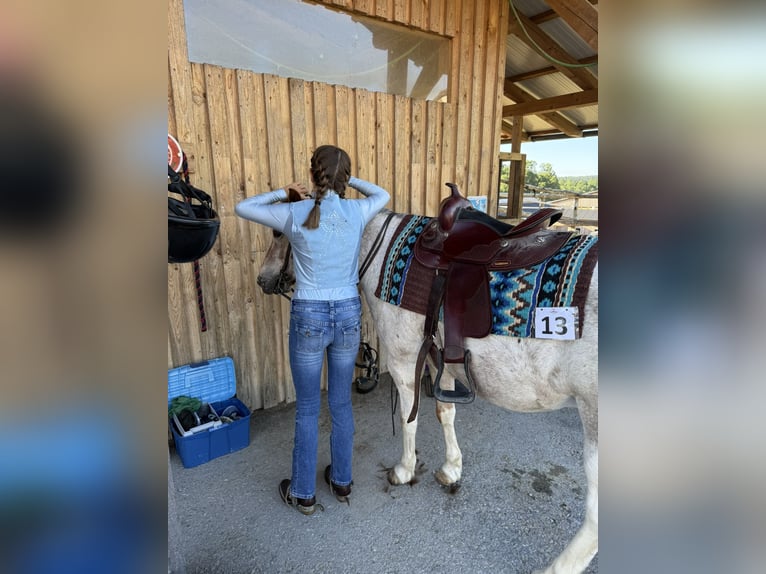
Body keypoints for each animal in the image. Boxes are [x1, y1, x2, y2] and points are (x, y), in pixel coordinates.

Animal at [256, 197, 598, 574]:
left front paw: (404, 470)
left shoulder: (404, 362)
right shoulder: (440, 360)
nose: (262, 278)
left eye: (277, 232)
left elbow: (410, 418)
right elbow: (445, 412)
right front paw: (451, 469)